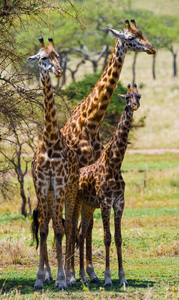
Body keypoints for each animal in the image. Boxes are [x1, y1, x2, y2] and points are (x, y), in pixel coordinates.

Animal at [72, 82, 142, 286]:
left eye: (139, 96)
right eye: (127, 97)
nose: (134, 106)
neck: (115, 164)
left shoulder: (119, 203)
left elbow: (118, 238)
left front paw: (123, 278)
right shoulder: (105, 203)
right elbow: (107, 237)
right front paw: (108, 278)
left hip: (87, 206)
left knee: (80, 233)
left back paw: (83, 276)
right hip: (76, 203)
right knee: (72, 231)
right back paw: (72, 276)